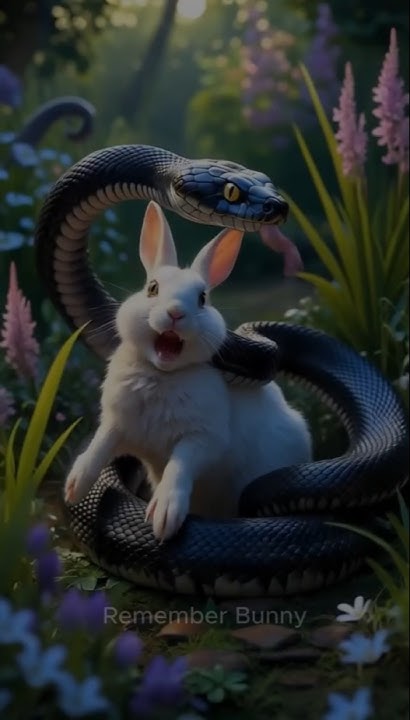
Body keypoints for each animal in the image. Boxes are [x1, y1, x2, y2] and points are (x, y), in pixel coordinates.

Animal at [64, 200, 312, 540]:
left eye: (202, 298)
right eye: (152, 288)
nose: (175, 313)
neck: (161, 374)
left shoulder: (203, 439)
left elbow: (180, 465)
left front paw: (164, 517)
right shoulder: (117, 424)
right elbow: (100, 445)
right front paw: (74, 487)